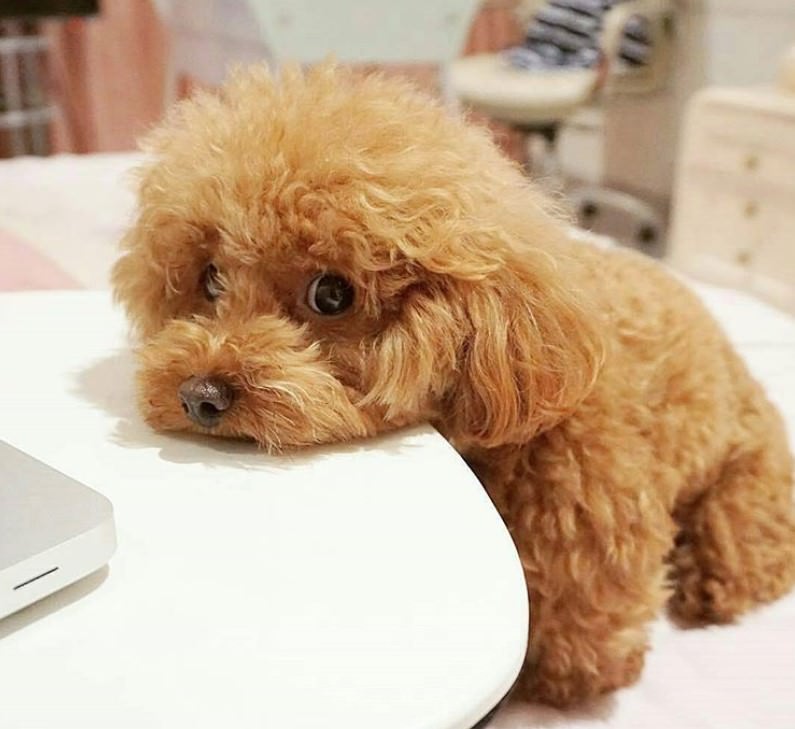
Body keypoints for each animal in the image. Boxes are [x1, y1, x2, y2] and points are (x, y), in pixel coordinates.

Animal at [112, 64, 795, 704]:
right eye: (211, 280)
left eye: (331, 294)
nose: (199, 396)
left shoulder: (593, 542)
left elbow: (582, 646)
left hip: (752, 481)